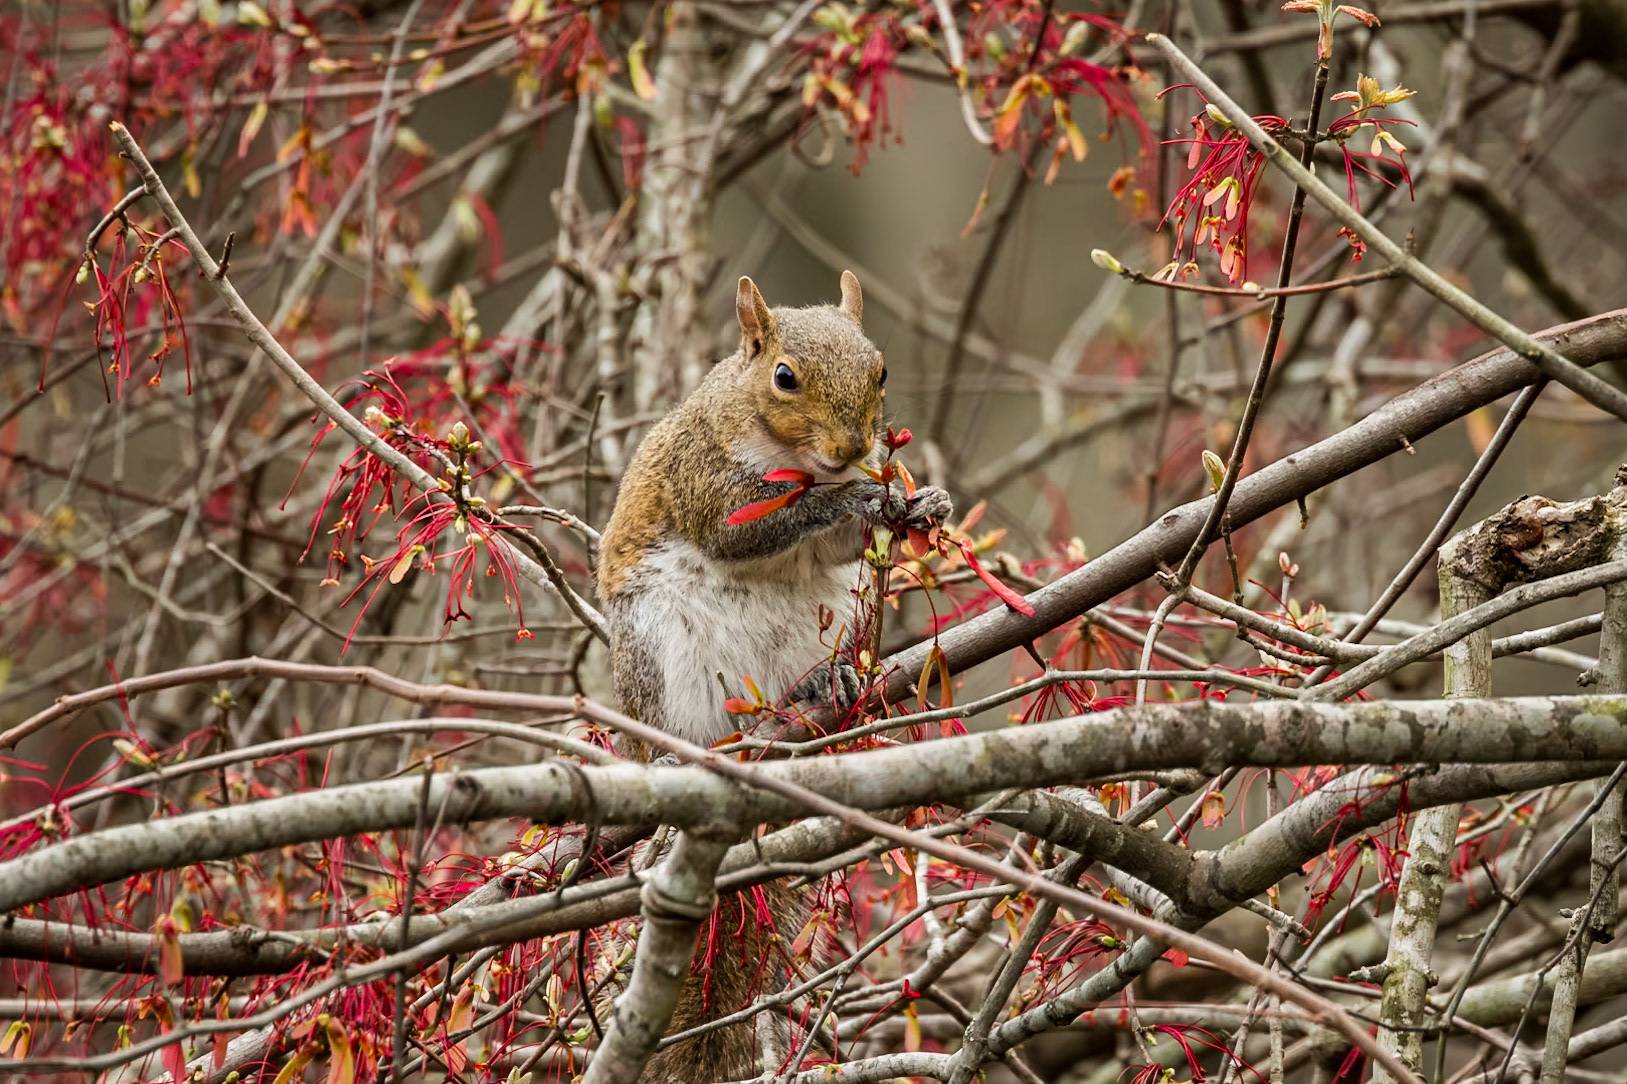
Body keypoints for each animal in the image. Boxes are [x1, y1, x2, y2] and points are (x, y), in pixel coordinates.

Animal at [596, 271, 951, 1082]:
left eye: (881, 369)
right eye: (784, 377)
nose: (855, 447)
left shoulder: (833, 550)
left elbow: (840, 545)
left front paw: (922, 502)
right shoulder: (701, 479)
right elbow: (748, 527)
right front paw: (850, 497)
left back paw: (832, 686)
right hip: (654, 655)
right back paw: (671, 758)